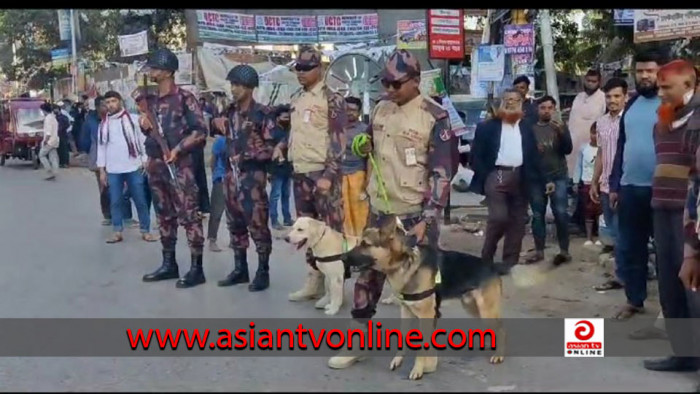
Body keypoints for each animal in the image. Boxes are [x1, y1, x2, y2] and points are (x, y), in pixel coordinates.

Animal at [342, 214, 548, 380]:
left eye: (366, 244)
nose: (343, 258)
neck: (404, 263)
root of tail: (492, 266)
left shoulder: (426, 315)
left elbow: (422, 349)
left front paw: (418, 370)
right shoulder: (406, 312)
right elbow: (404, 340)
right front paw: (398, 361)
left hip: (486, 309)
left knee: (501, 329)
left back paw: (499, 355)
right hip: (472, 307)